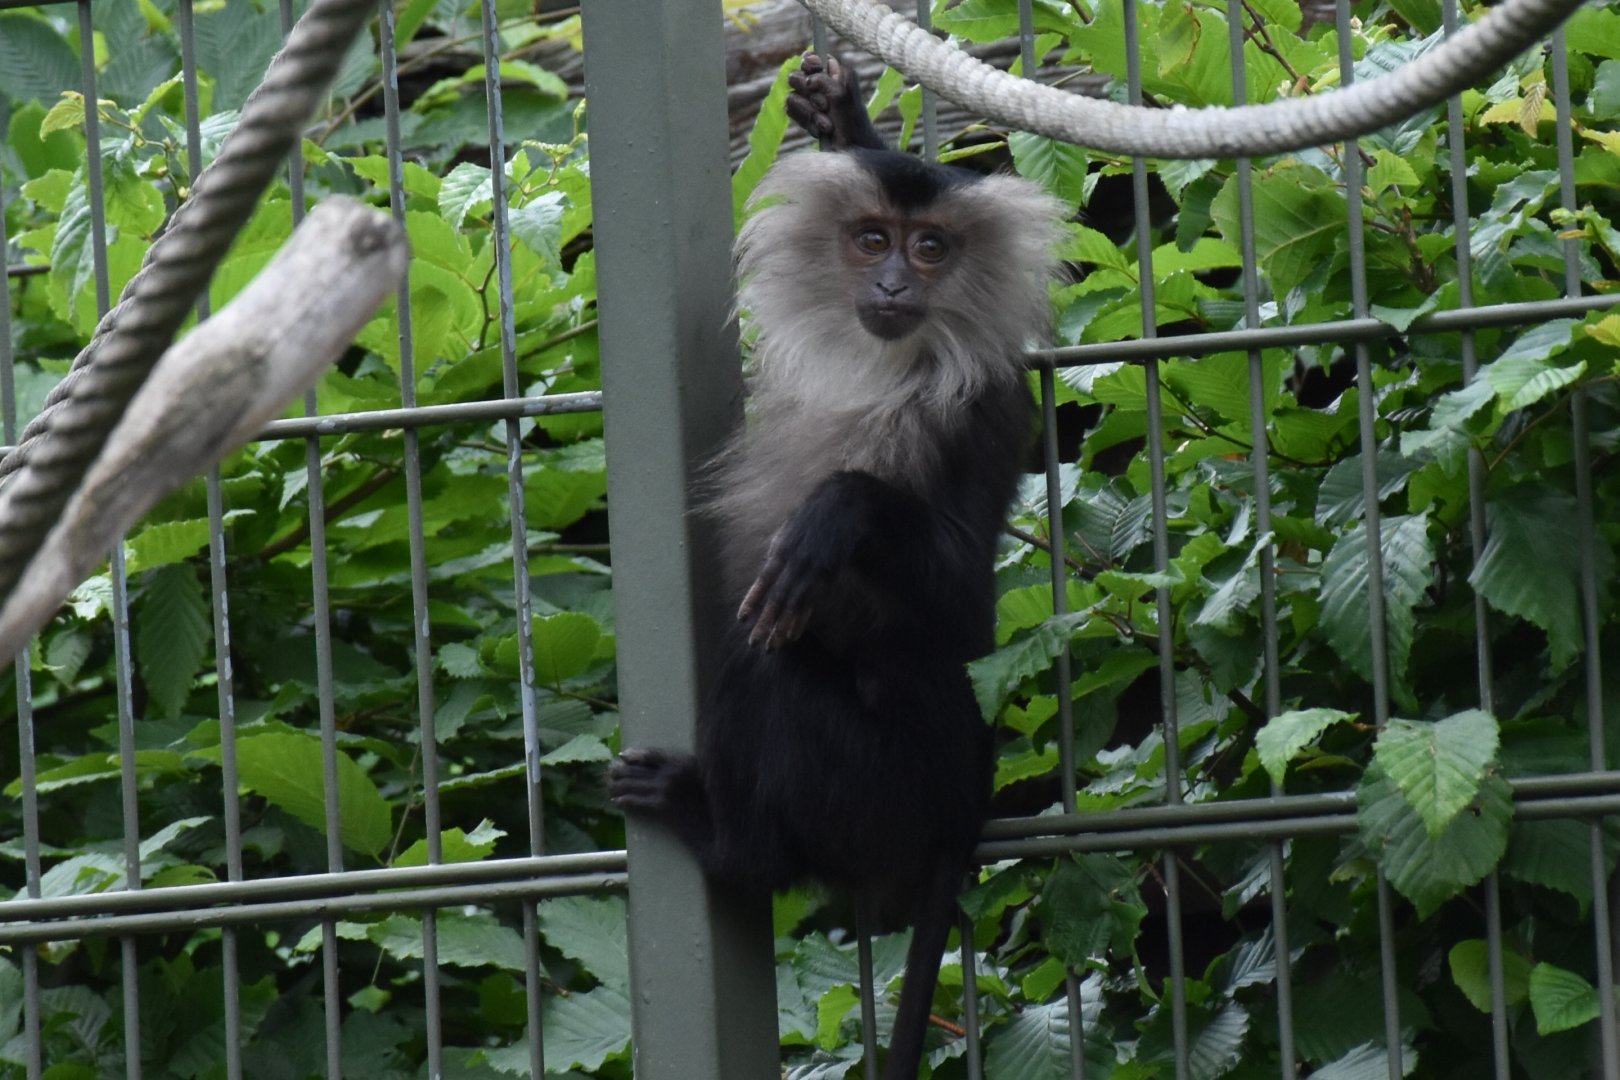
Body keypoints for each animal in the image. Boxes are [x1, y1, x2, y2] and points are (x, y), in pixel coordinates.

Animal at [609, 53, 1067, 1079]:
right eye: (870, 240)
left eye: (930, 248)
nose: (894, 281)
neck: (883, 363)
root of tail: (964, 803)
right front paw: (843, 115)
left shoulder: (986, 405)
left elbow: (958, 589)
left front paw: (837, 515)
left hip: (879, 789)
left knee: (766, 671)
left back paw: (723, 839)